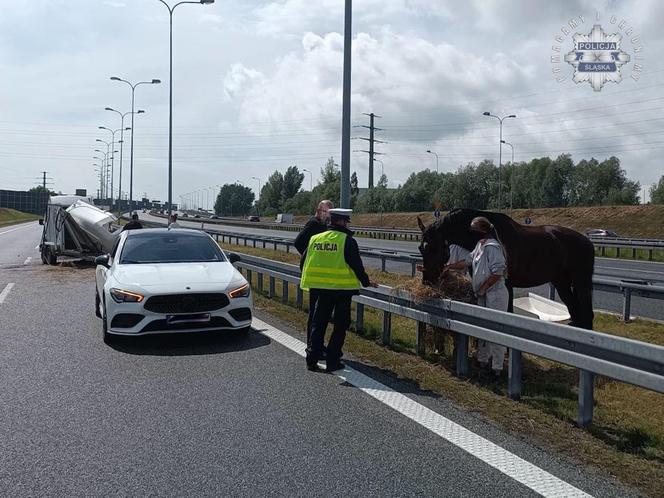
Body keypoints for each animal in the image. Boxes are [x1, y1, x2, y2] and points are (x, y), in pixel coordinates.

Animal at [418, 208, 592, 328]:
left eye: (435, 248)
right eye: (421, 248)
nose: (427, 281)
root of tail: (587, 241)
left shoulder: (507, 285)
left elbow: (507, 312)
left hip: (581, 282)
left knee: (586, 312)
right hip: (560, 282)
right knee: (574, 308)